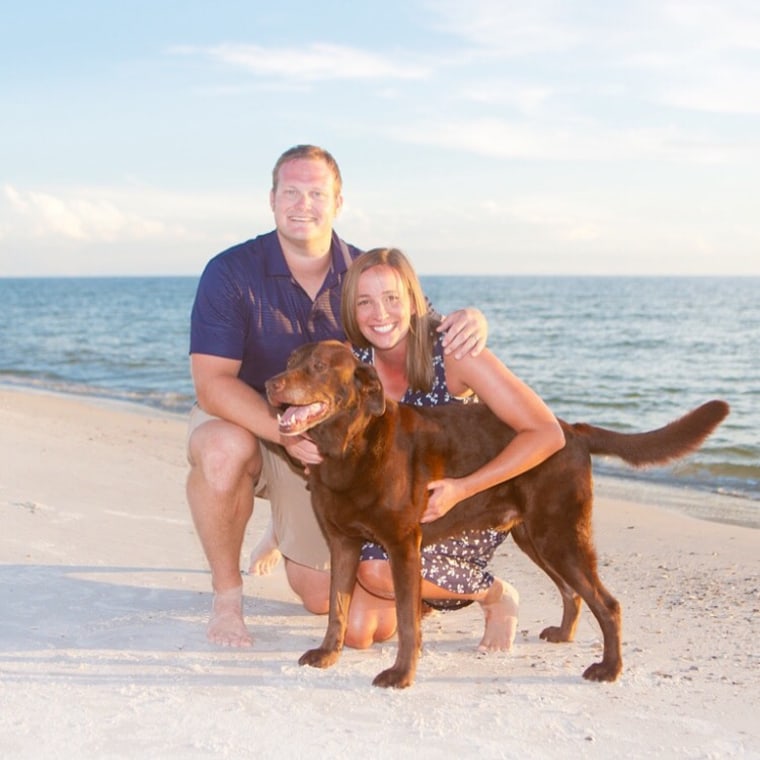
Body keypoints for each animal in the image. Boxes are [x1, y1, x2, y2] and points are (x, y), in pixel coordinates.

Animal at [266, 342, 732, 684]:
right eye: (289, 362)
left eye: (318, 366)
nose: (270, 383)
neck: (349, 446)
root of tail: (572, 431)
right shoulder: (343, 544)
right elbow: (337, 608)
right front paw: (329, 654)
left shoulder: (401, 547)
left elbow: (406, 620)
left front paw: (401, 674)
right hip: (537, 536)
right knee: (572, 592)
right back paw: (564, 635)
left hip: (560, 535)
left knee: (608, 603)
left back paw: (609, 668)